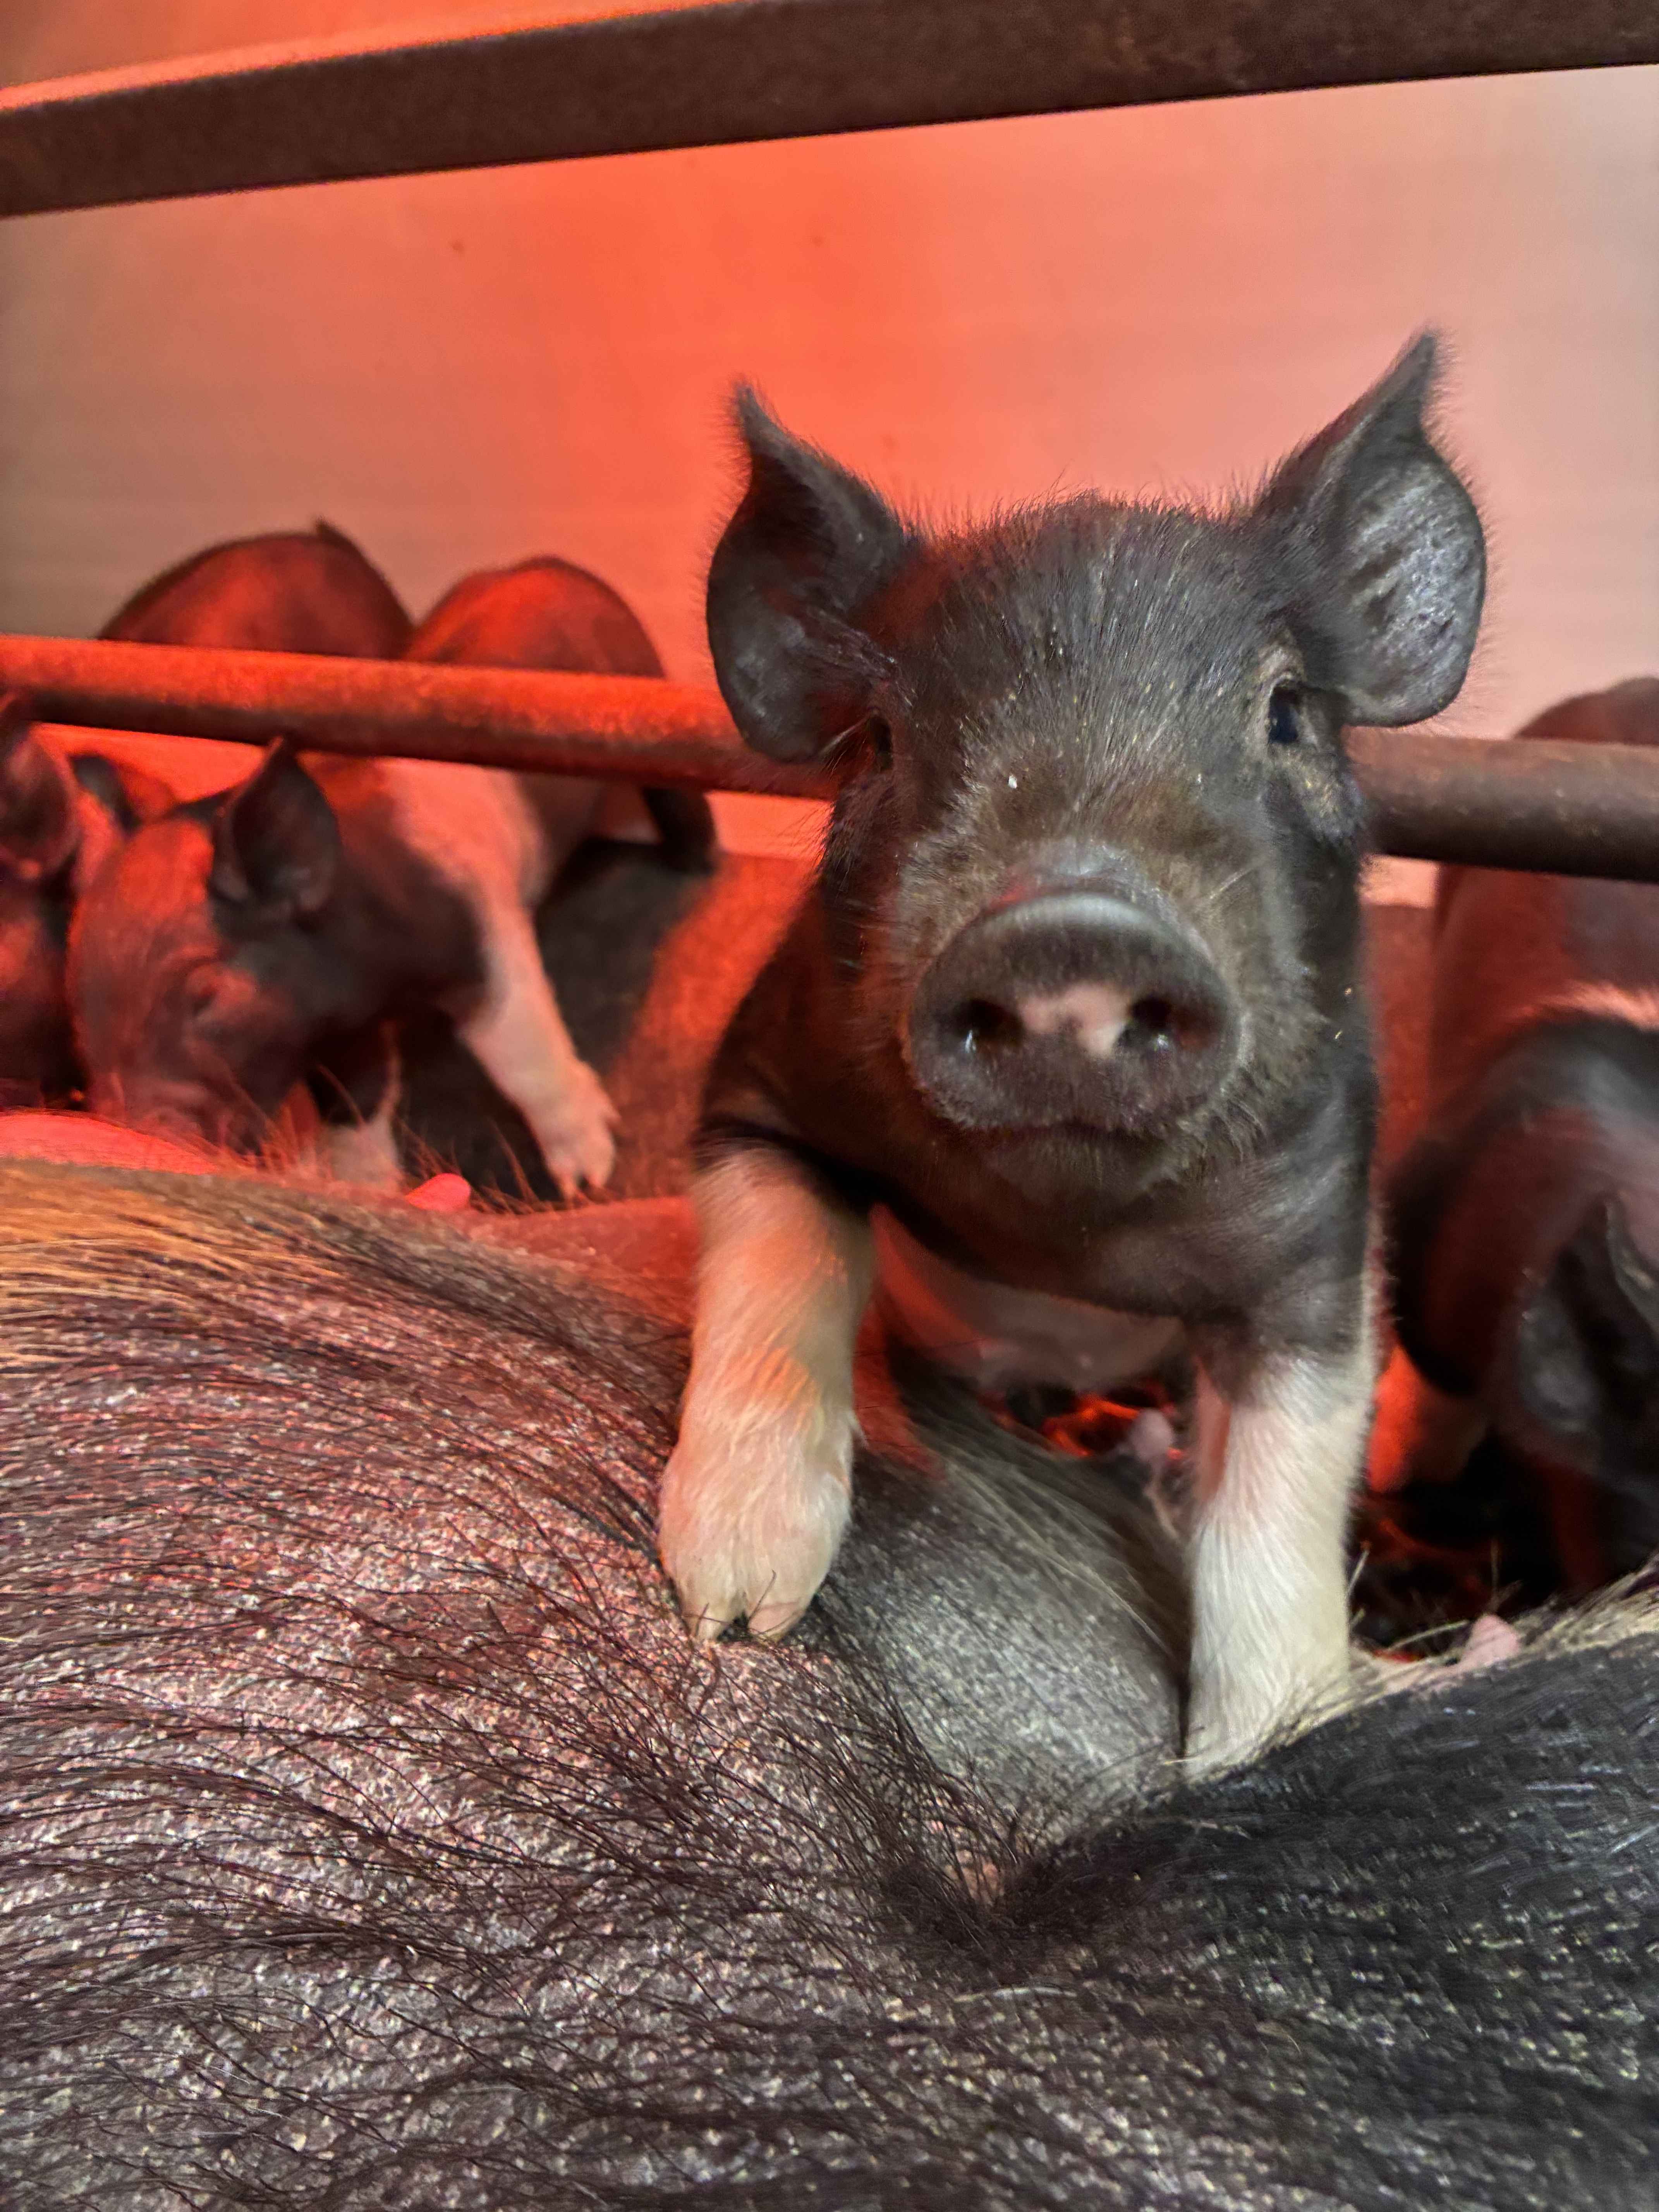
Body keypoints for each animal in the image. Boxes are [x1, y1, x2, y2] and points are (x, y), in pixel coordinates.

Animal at [69, 557, 716, 1194]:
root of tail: (549, 565)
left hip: (644, 687)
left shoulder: (486, 934)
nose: (138, 1139)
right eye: (82, 1024)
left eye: (206, 995)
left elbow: (521, 1049)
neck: (376, 974)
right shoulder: (341, 1024)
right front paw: (367, 1185)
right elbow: (358, 1097)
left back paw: (697, 861)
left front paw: (588, 1177)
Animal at [660, 335, 1487, 1768]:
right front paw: (733, 1616)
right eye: (882, 739)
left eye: (1285, 712)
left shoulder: (1322, 1238)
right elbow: (784, 1266)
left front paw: (1266, 1752)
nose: (1067, 920)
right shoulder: (758, 1088)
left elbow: (1275, 1502)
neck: (1069, 1249)